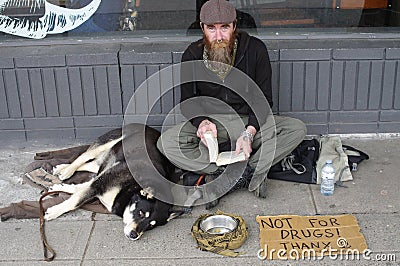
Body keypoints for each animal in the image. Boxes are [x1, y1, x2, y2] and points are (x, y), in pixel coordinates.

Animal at [45, 123, 181, 240]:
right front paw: (54, 212)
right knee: (84, 157)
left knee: (93, 164)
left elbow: (79, 188)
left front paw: (58, 187)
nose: (134, 235)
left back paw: (61, 168)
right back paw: (67, 171)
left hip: (110, 159)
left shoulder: (100, 180)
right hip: (108, 143)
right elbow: (75, 200)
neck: (130, 189)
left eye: (151, 226)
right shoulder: (99, 183)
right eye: (141, 213)